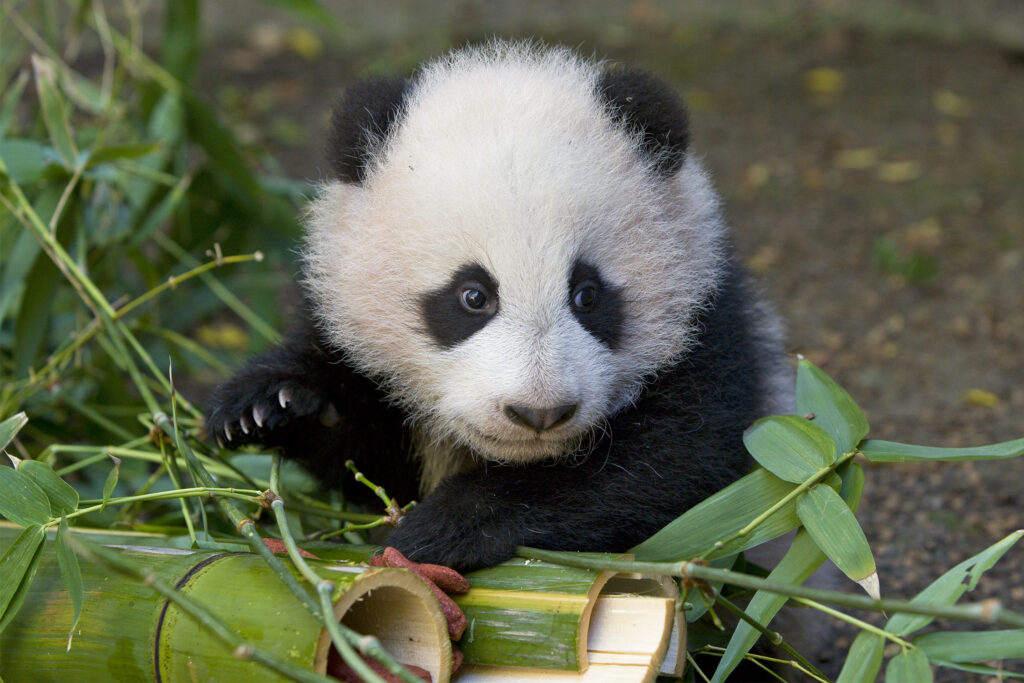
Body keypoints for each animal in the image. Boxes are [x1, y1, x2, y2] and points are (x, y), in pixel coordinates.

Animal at [205, 40, 791, 572]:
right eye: (472, 296)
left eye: (587, 295)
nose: (539, 413)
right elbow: (368, 465)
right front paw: (270, 406)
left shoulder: (710, 325)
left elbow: (673, 470)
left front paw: (449, 525)